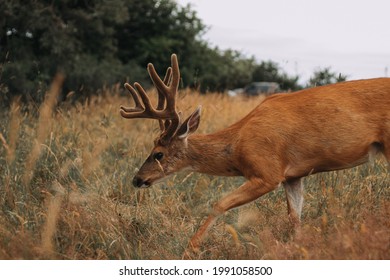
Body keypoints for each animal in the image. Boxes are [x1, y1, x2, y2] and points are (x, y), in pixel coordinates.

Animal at [119, 53, 390, 255]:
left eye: (158, 154)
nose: (137, 179)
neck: (237, 145)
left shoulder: (267, 172)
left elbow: (219, 203)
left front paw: (191, 248)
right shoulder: (292, 176)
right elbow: (295, 218)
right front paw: (299, 248)